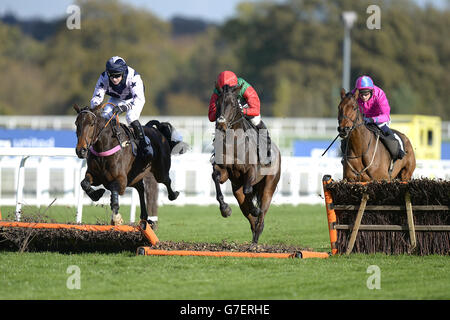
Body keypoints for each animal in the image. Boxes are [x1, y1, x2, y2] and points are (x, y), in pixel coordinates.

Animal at [212, 84, 282, 242]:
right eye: (217, 103)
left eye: (233, 104)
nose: (221, 125)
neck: (233, 142)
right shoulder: (223, 170)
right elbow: (217, 178)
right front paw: (225, 209)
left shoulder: (252, 171)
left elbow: (248, 190)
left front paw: (255, 209)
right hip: (236, 189)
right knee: (249, 214)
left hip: (269, 185)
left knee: (261, 213)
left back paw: (256, 237)